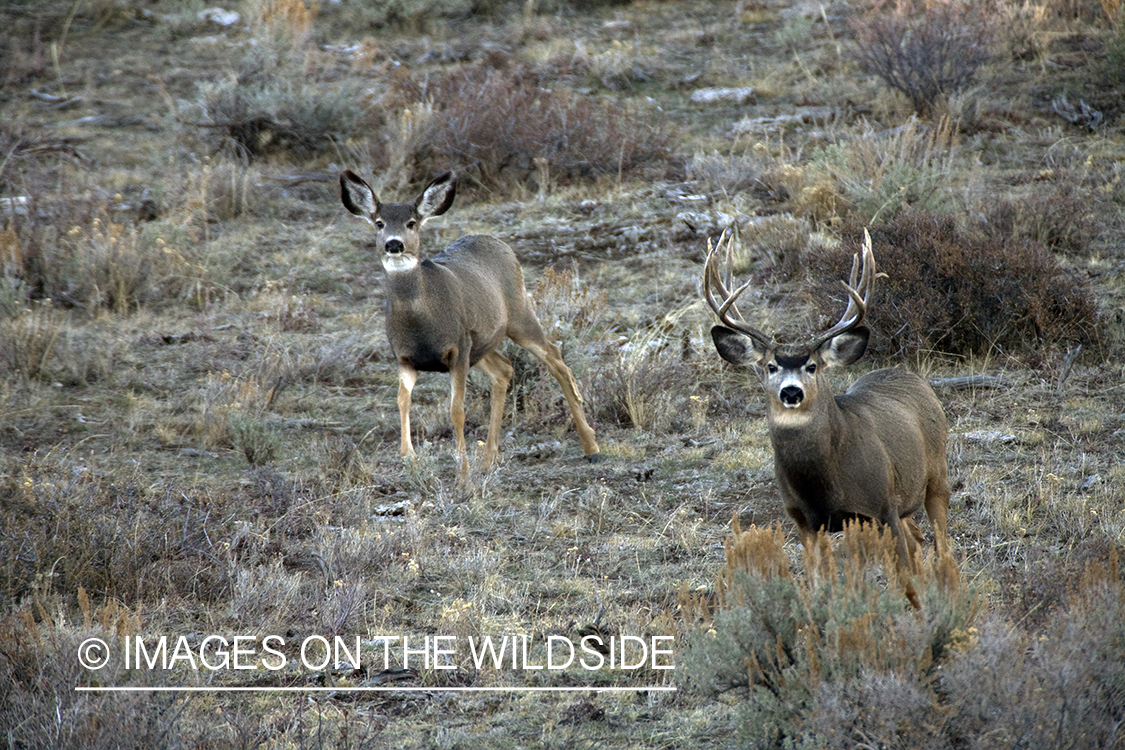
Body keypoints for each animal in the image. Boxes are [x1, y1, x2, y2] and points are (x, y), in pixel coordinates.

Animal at [339, 169, 600, 477]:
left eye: (411, 223)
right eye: (379, 223)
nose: (394, 243)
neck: (421, 322)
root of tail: (499, 242)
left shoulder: (458, 348)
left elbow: (457, 410)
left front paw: (462, 469)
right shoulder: (404, 356)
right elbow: (402, 401)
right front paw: (409, 458)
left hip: (518, 314)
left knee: (556, 358)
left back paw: (591, 448)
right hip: (482, 343)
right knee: (505, 369)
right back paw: (489, 459)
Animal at [703, 229, 952, 607]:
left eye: (812, 366)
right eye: (771, 366)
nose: (791, 392)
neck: (824, 483)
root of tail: (906, 373)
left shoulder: (881, 506)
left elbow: (903, 576)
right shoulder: (804, 520)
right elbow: (819, 580)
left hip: (936, 475)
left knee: (940, 543)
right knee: (918, 537)